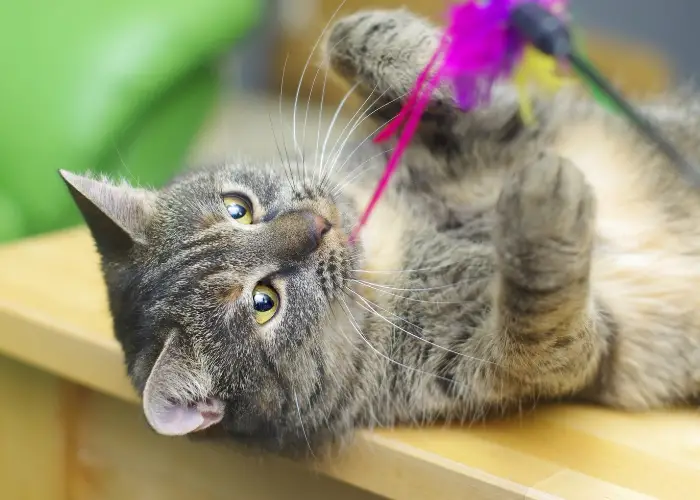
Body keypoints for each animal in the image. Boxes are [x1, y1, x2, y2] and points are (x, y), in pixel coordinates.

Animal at [58, 8, 700, 460]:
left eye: (238, 208)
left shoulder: (494, 140)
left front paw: (426, 53)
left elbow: (351, 40)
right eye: (264, 303)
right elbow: (539, 312)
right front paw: (542, 211)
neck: (398, 251)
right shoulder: (537, 358)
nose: (318, 226)